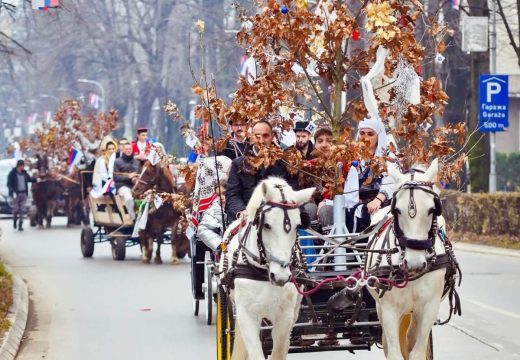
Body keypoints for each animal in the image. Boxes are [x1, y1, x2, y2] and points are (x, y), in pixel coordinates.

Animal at [218, 178, 314, 360]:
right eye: (267, 225)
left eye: (297, 226)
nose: (280, 276)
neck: (263, 272)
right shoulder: (246, 315)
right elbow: (255, 353)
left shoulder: (285, 317)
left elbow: (279, 352)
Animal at [366, 160, 456, 360]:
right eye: (397, 210)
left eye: (432, 209)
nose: (414, 264)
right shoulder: (389, 310)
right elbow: (394, 353)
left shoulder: (429, 308)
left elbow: (417, 351)